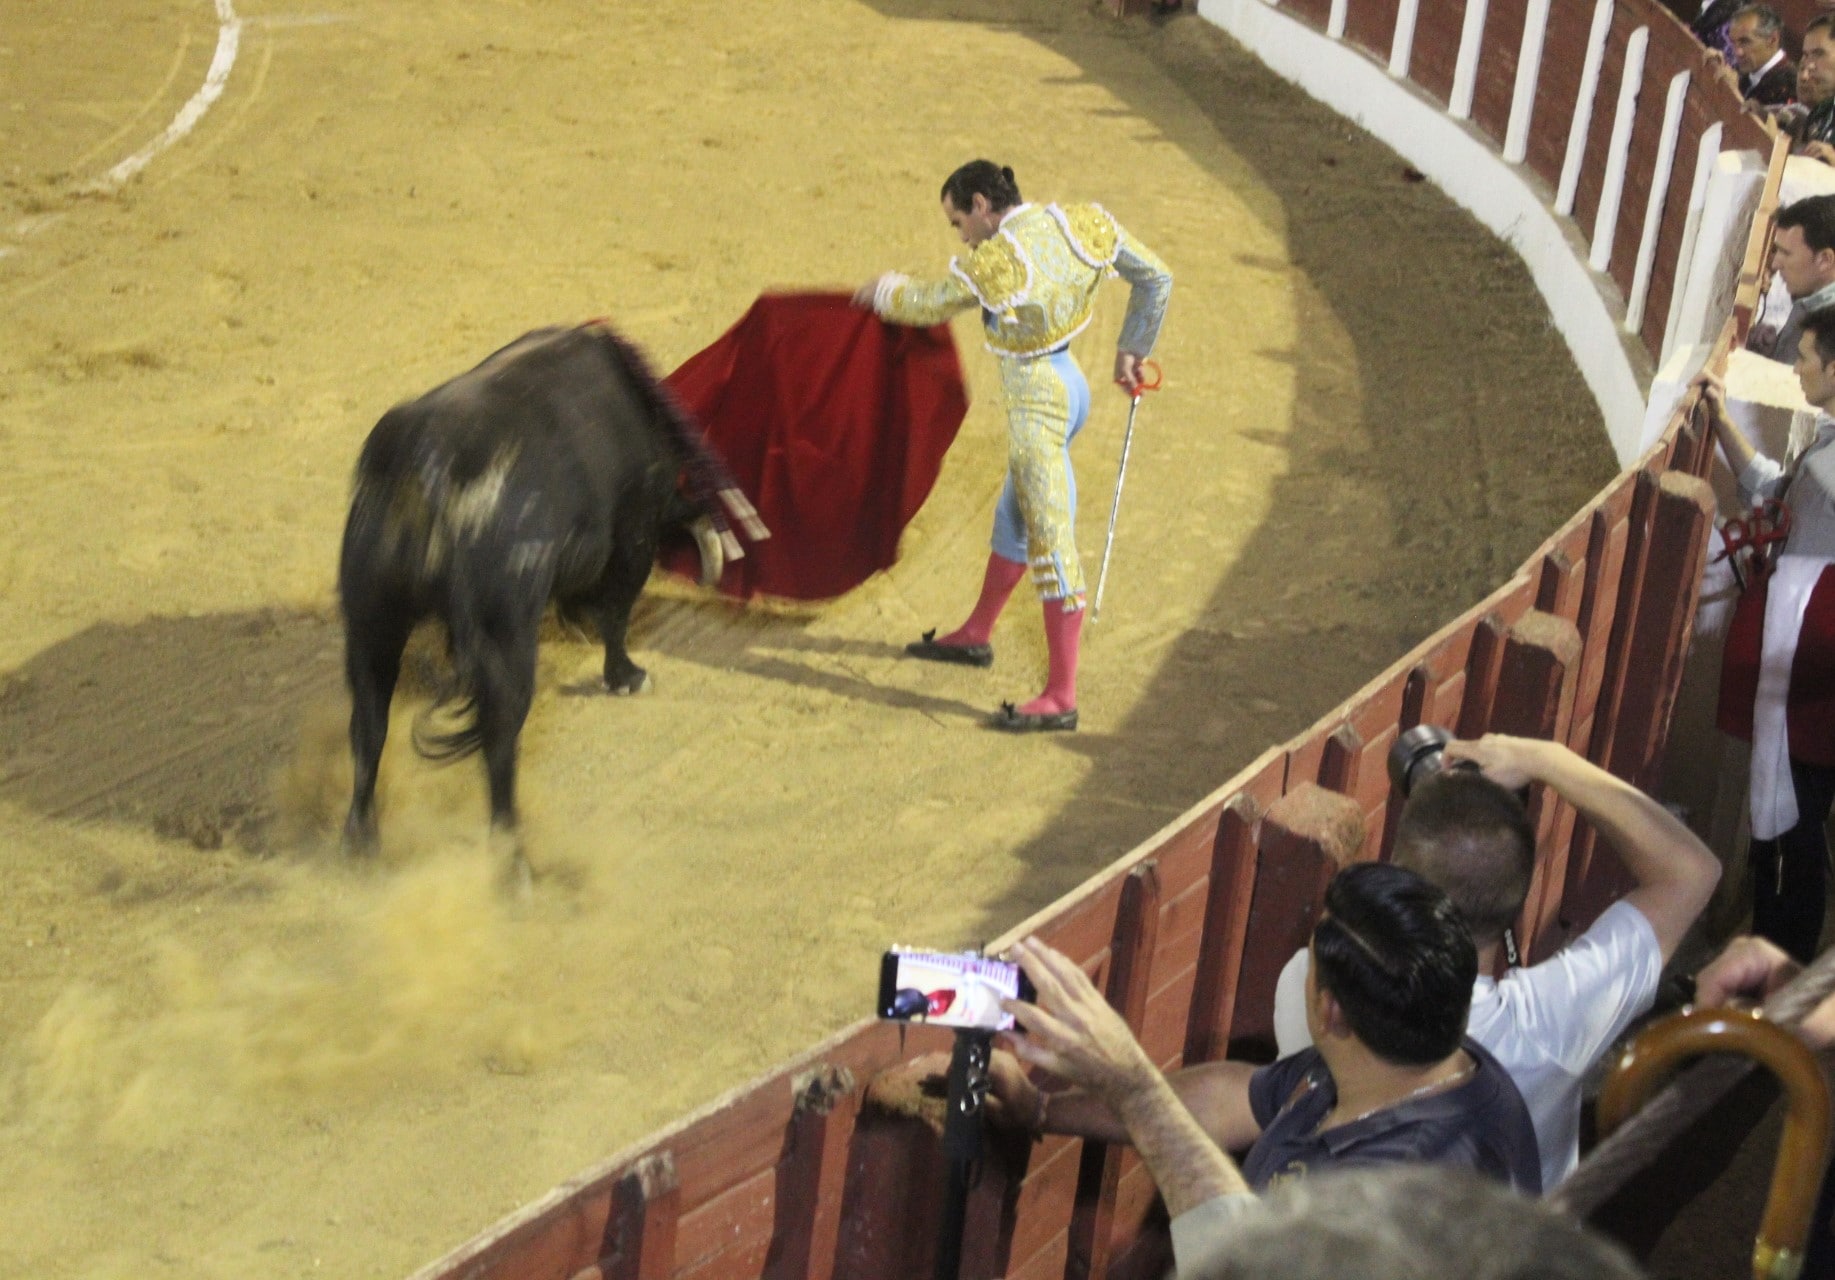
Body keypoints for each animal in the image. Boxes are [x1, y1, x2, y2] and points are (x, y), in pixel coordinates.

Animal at [341, 324, 763, 872]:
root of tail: (423, 459)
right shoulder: (632, 536)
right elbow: (617, 612)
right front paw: (626, 676)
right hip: (502, 637)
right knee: (499, 741)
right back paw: (514, 864)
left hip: (370, 624)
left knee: (368, 726)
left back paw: (362, 846)